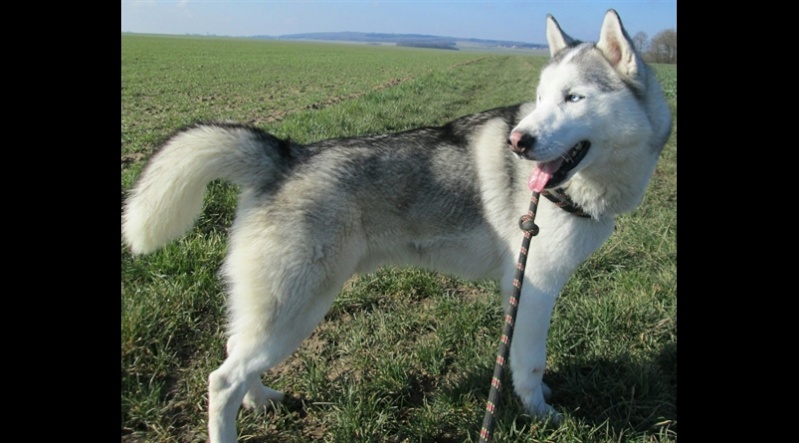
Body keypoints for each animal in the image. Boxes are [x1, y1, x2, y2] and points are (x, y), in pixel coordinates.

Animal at [123, 10, 676, 443]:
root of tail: (285, 155)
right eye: (541, 99)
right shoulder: (535, 286)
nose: (518, 142)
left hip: (273, 309)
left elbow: (521, 359)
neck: (590, 184)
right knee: (221, 380)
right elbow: (530, 363)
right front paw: (541, 413)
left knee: (237, 356)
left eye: (573, 98)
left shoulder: (519, 289)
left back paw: (259, 399)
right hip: (296, 308)